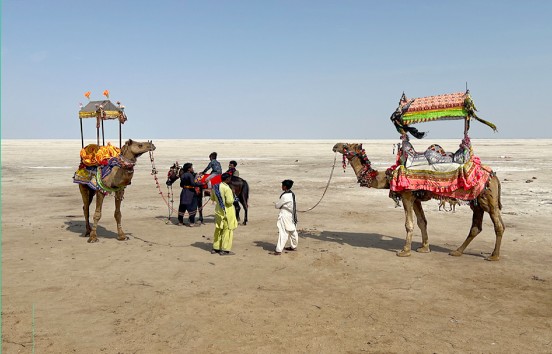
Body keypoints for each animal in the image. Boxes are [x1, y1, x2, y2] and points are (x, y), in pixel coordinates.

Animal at [332, 142, 504, 262]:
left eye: (346, 146)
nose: (335, 146)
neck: (389, 176)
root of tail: (494, 175)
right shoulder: (415, 198)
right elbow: (422, 221)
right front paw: (424, 248)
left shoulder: (407, 195)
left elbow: (409, 224)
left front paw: (405, 251)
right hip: (478, 202)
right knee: (476, 227)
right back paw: (457, 251)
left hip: (488, 198)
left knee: (498, 225)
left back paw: (493, 256)